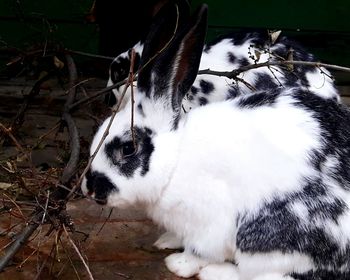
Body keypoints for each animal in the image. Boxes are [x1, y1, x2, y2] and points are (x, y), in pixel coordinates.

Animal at [81, 2, 350, 280]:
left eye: (128, 148)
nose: (88, 188)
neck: (174, 162)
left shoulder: (212, 225)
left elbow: (199, 251)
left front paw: (177, 263)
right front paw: (166, 240)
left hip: (270, 235)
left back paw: (216, 272)